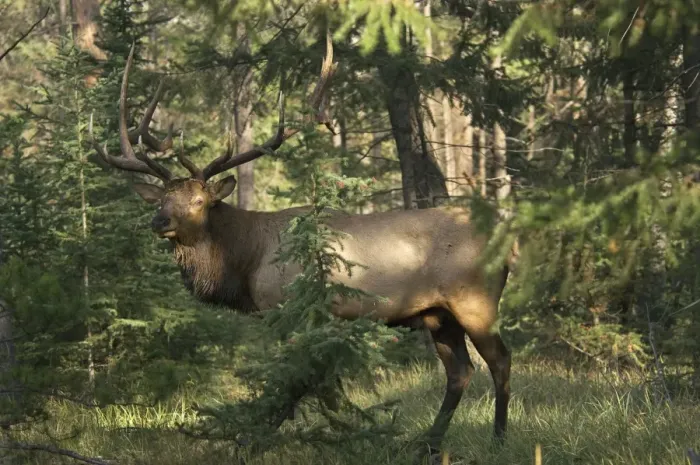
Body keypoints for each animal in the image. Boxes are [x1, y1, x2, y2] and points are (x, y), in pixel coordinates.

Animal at [90, 38, 512, 458]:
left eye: (198, 201)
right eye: (161, 200)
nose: (159, 222)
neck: (244, 262)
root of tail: (506, 246)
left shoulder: (291, 311)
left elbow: (300, 383)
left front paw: (258, 440)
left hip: (475, 301)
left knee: (500, 362)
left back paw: (498, 438)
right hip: (438, 315)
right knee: (460, 371)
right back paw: (428, 444)